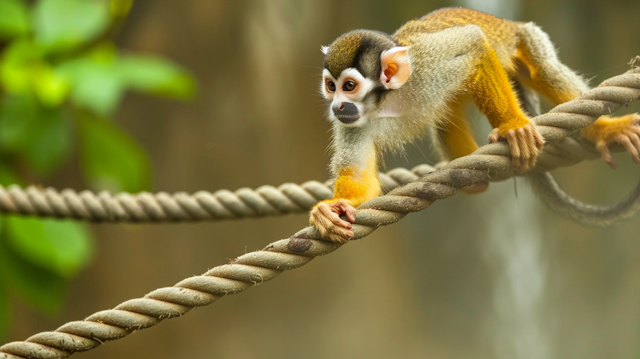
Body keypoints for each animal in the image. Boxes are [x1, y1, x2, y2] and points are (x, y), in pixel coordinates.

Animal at [310, 7, 640, 243]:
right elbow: (359, 176)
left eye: (349, 86)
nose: (337, 106)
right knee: (445, 116)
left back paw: (604, 129)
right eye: (331, 86)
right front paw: (331, 209)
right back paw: (470, 175)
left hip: (525, 38)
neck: (387, 100)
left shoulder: (428, 65)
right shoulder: (352, 123)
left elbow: (474, 44)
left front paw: (512, 126)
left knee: (541, 68)